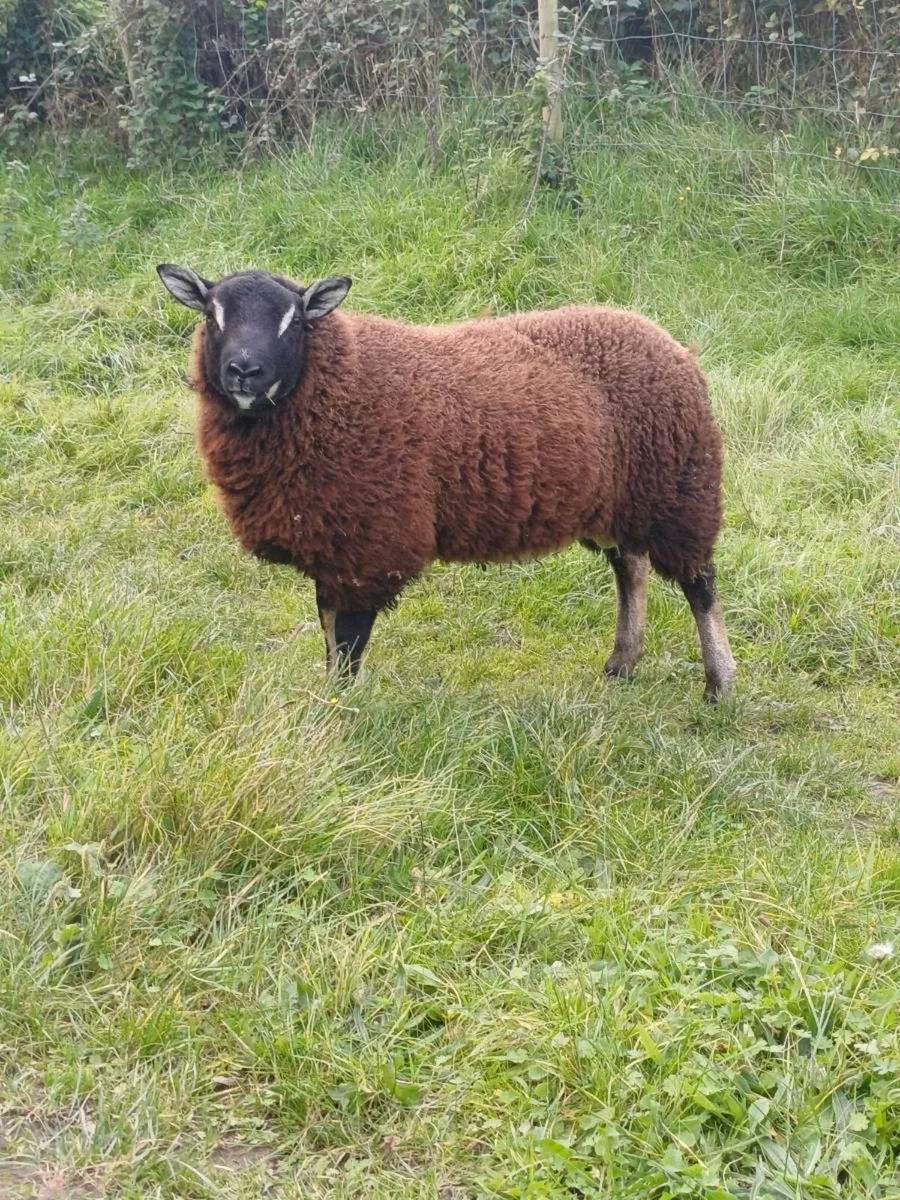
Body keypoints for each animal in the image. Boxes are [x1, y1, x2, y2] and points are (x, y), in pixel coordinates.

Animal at [157, 264, 736, 701]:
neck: (337, 387)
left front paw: (339, 719)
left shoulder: (370, 547)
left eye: (294, 321)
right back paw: (622, 662)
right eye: (211, 313)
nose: (244, 370)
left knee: (699, 584)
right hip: (622, 499)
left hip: (679, 490)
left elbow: (346, 648)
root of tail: (668, 341)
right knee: (631, 569)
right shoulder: (334, 548)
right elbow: (329, 638)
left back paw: (719, 684)